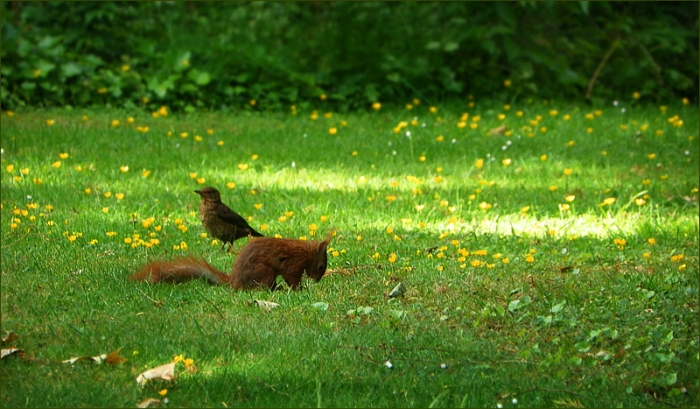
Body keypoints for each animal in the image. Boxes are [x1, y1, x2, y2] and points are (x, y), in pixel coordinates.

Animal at [130, 231, 334, 290]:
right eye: (321, 266)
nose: (317, 280)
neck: (307, 253)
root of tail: (234, 281)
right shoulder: (293, 264)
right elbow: (292, 277)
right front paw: (299, 289)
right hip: (264, 272)